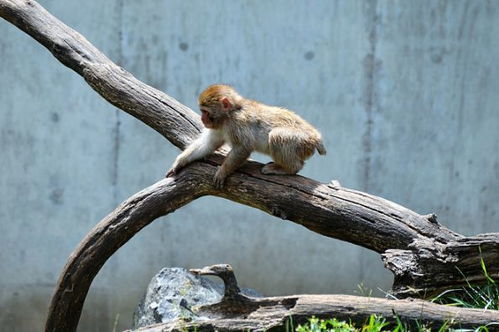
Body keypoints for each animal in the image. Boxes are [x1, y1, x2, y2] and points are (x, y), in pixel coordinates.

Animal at [166, 84, 326, 188]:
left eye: (205, 112)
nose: (202, 119)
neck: (230, 114)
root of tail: (316, 137)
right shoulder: (220, 126)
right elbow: (209, 144)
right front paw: (180, 162)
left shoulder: (236, 123)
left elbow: (243, 147)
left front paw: (223, 171)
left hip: (301, 141)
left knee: (277, 136)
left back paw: (288, 168)